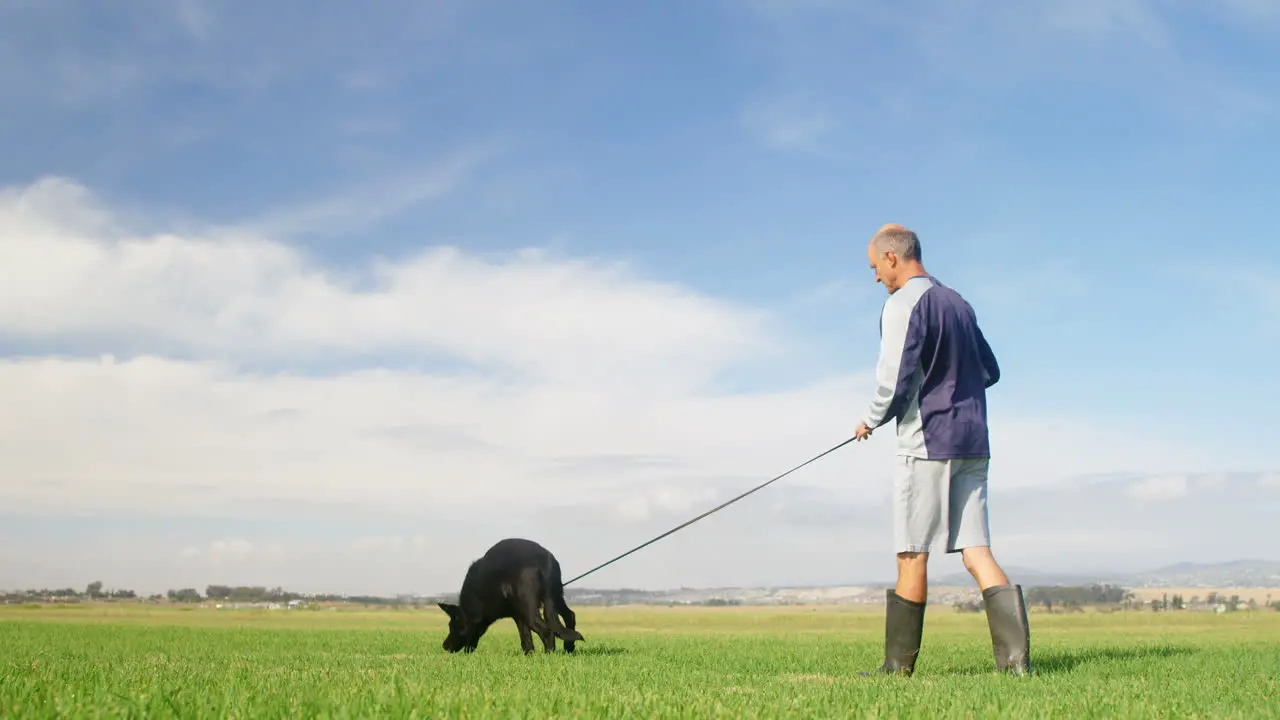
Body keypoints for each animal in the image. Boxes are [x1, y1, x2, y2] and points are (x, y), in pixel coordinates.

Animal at [437, 538, 583, 650]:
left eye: (452, 627)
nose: (444, 646)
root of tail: (542, 561)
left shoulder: (519, 614)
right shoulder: (518, 615)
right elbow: (526, 639)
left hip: (530, 608)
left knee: (547, 631)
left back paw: (549, 654)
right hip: (555, 597)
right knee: (569, 615)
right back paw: (569, 647)